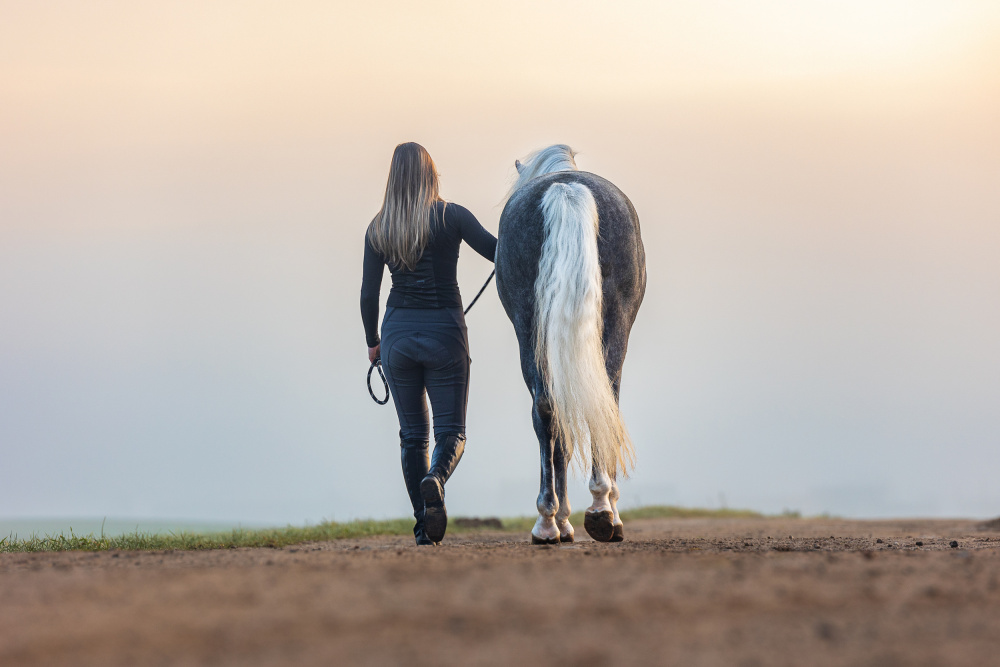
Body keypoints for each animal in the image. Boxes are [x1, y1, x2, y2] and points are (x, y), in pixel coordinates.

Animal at [494, 145, 648, 544]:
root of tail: (567, 189)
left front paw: (564, 520)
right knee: (593, 405)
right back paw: (593, 512)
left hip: (532, 327)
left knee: (549, 407)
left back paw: (560, 520)